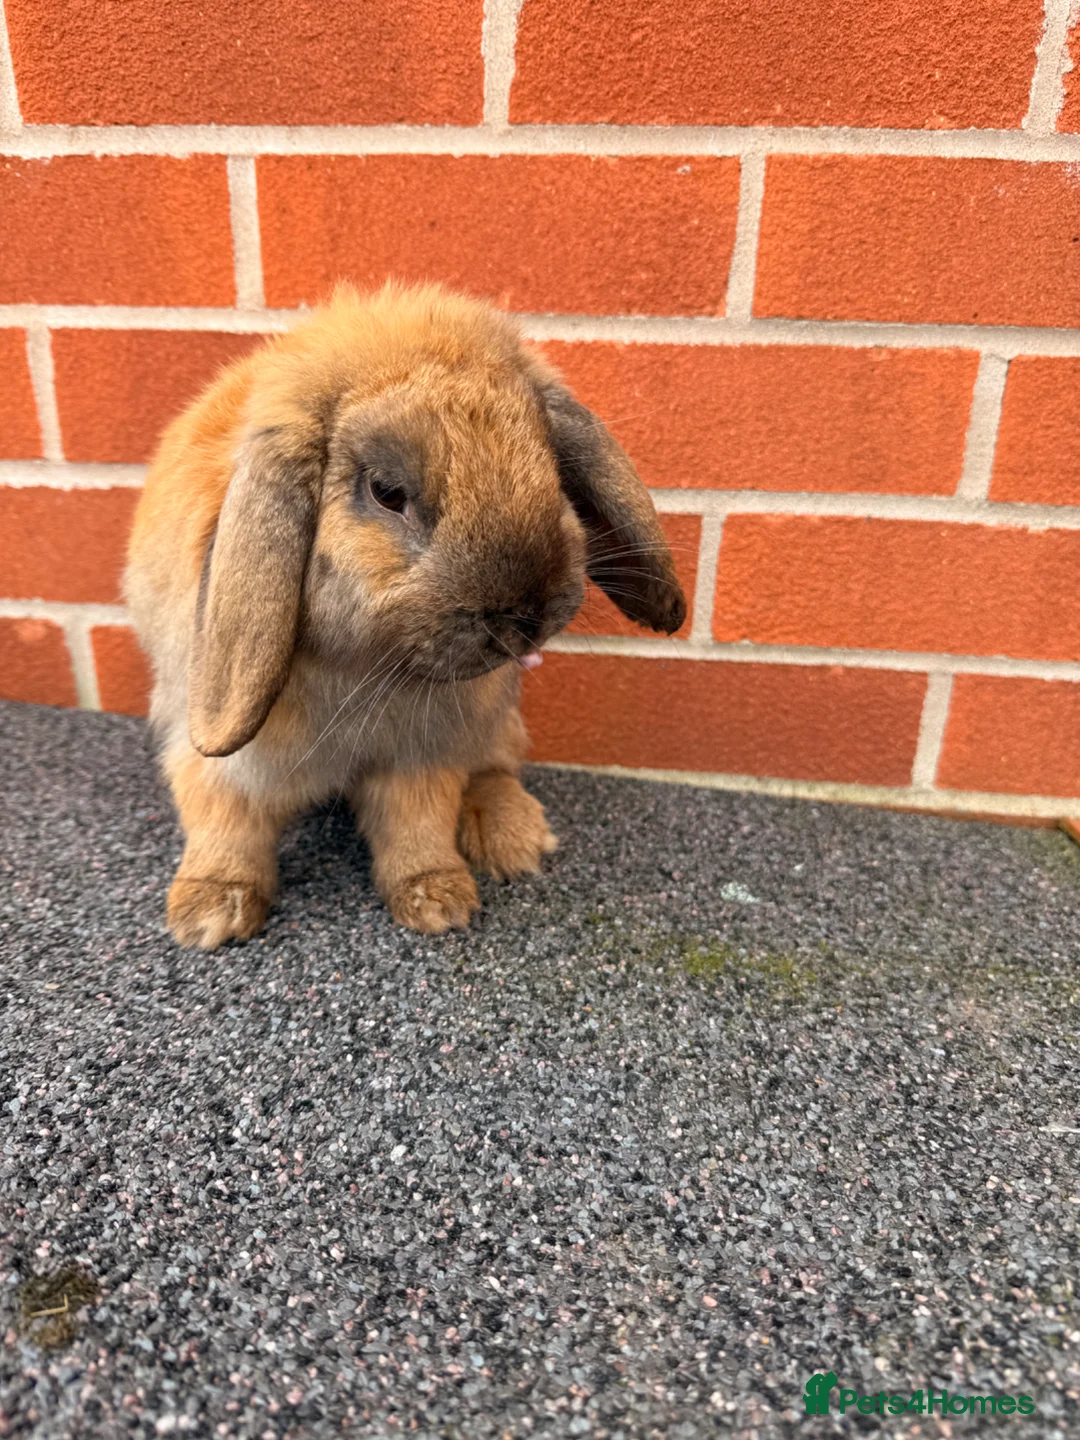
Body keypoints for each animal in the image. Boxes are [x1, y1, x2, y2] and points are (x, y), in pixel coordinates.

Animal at [125, 282, 686, 949]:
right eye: (387, 492)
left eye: (549, 467)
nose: (528, 614)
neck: (365, 670)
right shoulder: (229, 763)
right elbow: (223, 822)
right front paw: (211, 913)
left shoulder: (424, 753)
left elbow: (418, 822)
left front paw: (436, 899)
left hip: (495, 716)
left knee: (496, 766)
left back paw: (514, 838)